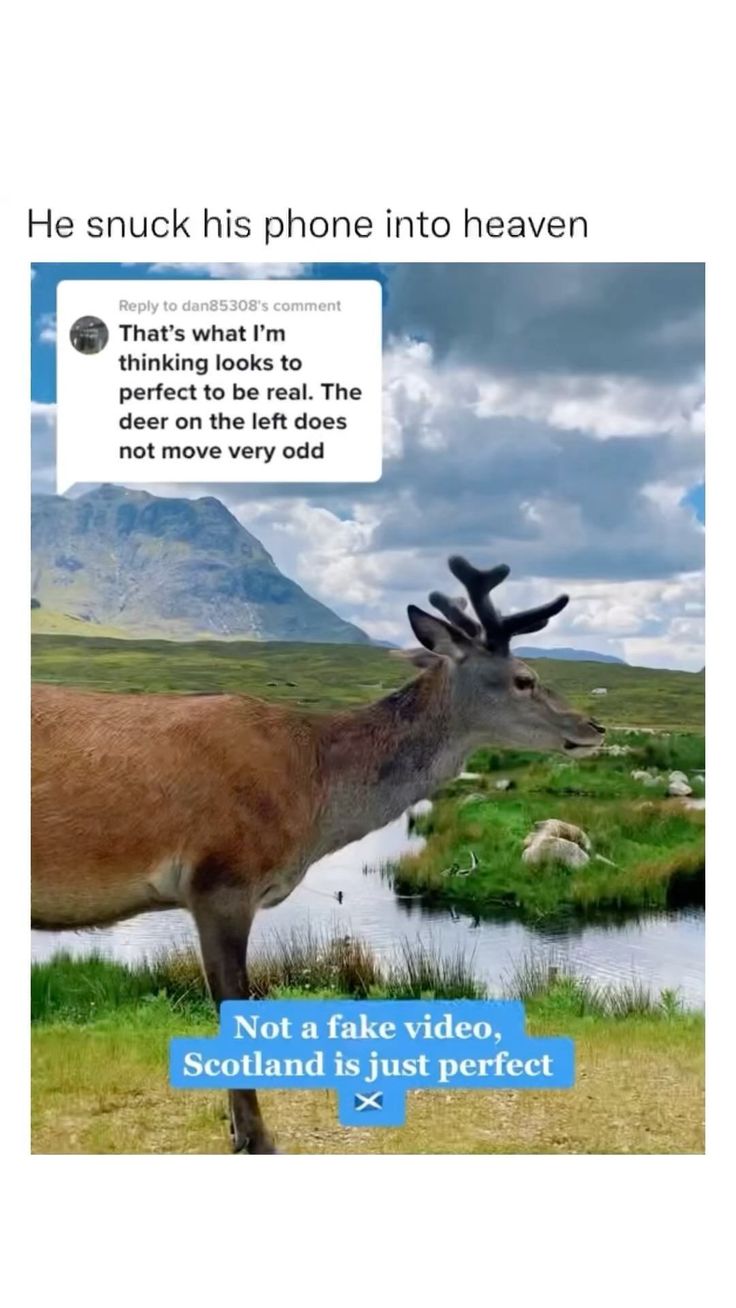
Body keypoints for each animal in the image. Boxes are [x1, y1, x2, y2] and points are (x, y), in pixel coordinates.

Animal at [31, 557, 603, 1151]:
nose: (594, 728)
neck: (312, 796)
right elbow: (233, 1004)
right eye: (524, 679)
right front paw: (254, 1137)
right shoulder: (221, 879)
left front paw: (237, 1128)